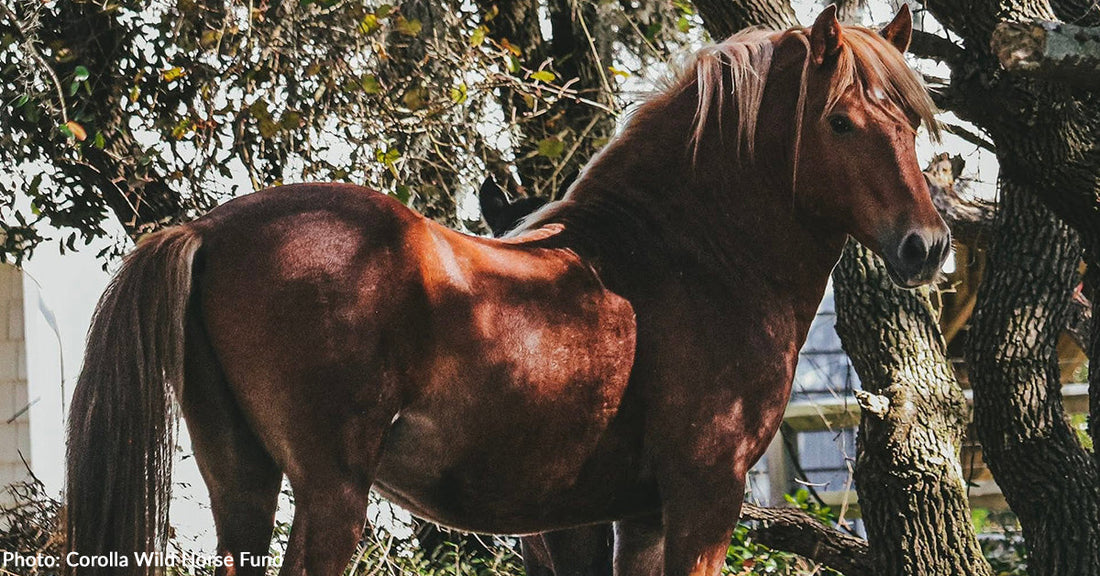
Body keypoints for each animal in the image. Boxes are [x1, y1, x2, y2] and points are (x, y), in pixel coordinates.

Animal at [64, 5, 947, 576]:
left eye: (908, 120)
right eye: (840, 122)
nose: (926, 245)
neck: (686, 259)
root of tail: (209, 229)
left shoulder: (616, 517)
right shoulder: (704, 491)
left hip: (242, 483)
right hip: (330, 491)